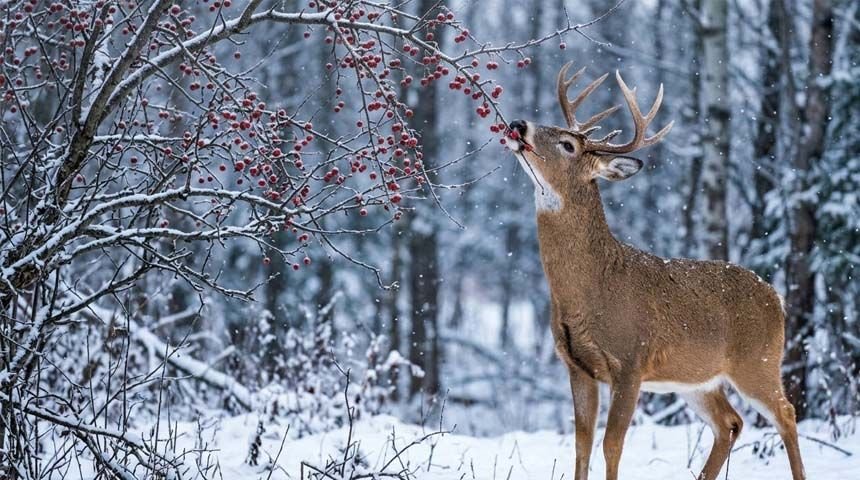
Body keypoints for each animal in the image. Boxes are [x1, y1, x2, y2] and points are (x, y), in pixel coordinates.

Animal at [504, 62, 806, 480]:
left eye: (568, 145)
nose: (518, 124)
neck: (589, 287)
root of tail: (775, 295)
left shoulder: (631, 361)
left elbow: (611, 445)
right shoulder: (576, 365)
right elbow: (581, 445)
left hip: (758, 361)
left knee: (786, 413)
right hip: (696, 379)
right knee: (730, 422)